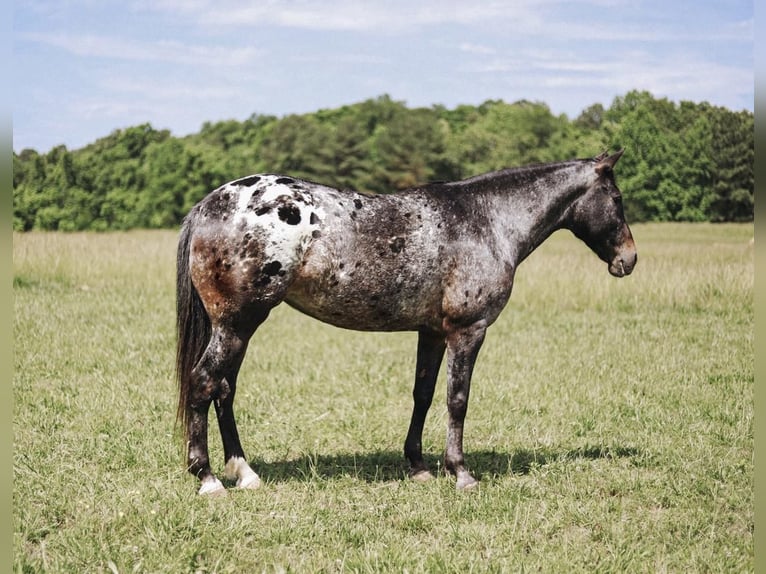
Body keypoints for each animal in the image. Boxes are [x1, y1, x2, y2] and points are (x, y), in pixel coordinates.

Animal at [177, 151, 640, 498]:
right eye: (617, 198)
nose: (629, 259)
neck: (486, 221)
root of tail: (207, 205)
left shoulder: (432, 332)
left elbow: (423, 394)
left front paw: (418, 465)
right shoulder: (467, 331)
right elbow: (457, 400)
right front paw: (461, 472)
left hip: (238, 328)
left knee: (224, 391)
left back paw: (245, 472)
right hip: (237, 325)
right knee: (204, 384)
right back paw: (209, 478)